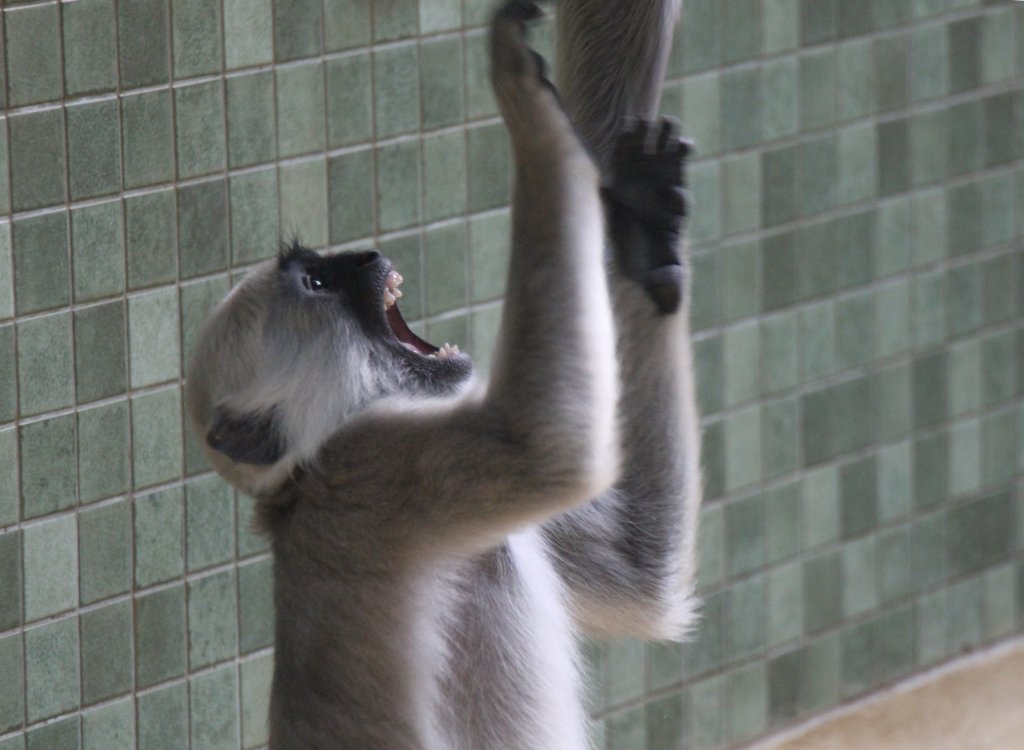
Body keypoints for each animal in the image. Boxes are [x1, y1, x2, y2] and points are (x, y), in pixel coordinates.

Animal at [184, 2, 700, 745]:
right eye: (319, 282)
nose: (365, 256)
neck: (300, 481)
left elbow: (642, 568)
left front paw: (641, 229)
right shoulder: (375, 468)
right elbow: (542, 446)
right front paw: (521, 95)